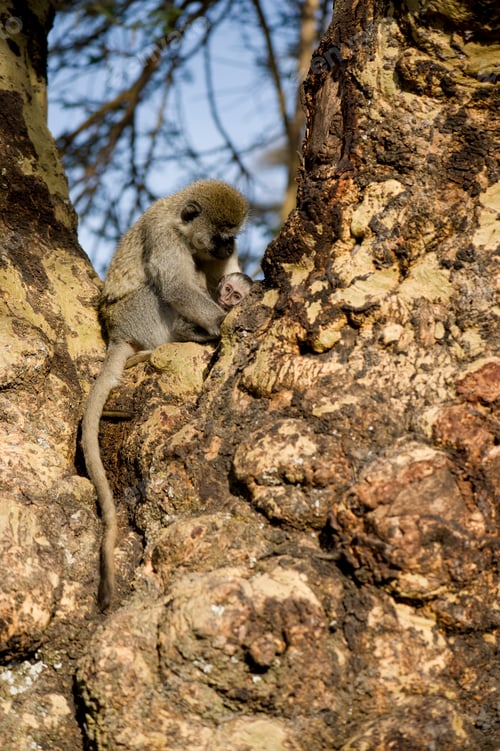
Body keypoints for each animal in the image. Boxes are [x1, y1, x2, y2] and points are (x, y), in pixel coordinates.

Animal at [81, 180, 248, 611]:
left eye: (233, 236)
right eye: (221, 234)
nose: (228, 246)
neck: (181, 224)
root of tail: (117, 332)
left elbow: (221, 274)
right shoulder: (163, 238)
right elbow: (176, 287)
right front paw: (223, 320)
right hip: (140, 314)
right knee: (163, 292)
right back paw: (189, 334)